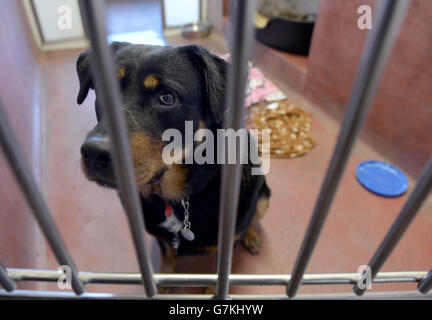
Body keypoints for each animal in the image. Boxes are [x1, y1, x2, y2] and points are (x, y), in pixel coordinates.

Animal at [75, 42, 270, 276]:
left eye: (167, 98)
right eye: (102, 92)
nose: (93, 153)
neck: (178, 199)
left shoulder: (225, 246)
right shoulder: (162, 239)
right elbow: (167, 259)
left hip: (263, 197)